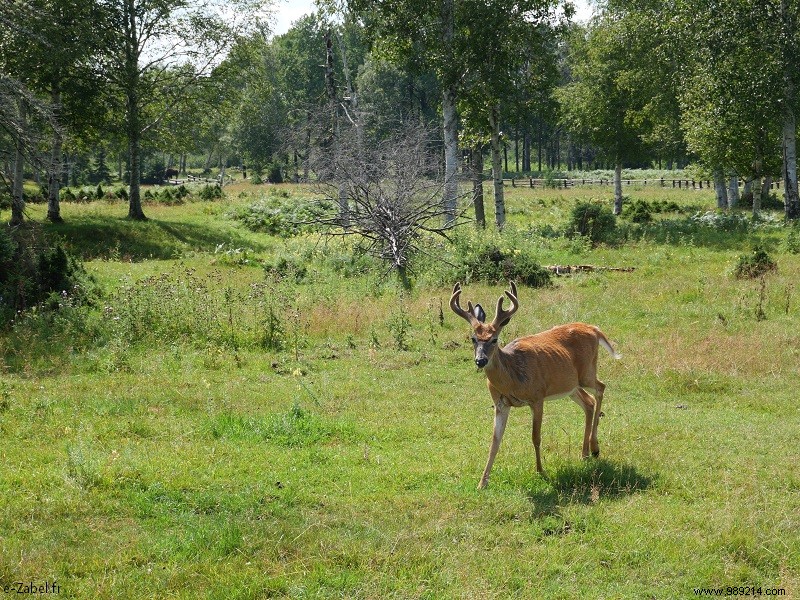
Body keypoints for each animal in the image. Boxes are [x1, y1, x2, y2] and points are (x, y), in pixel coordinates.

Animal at [450, 282, 620, 488]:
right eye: (473, 339)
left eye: (494, 339)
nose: (480, 361)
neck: (512, 377)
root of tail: (594, 328)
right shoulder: (500, 403)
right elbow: (494, 441)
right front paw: (482, 483)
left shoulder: (537, 397)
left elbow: (536, 437)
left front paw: (540, 471)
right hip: (570, 385)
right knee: (589, 402)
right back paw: (585, 453)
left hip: (587, 372)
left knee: (601, 387)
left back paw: (595, 448)